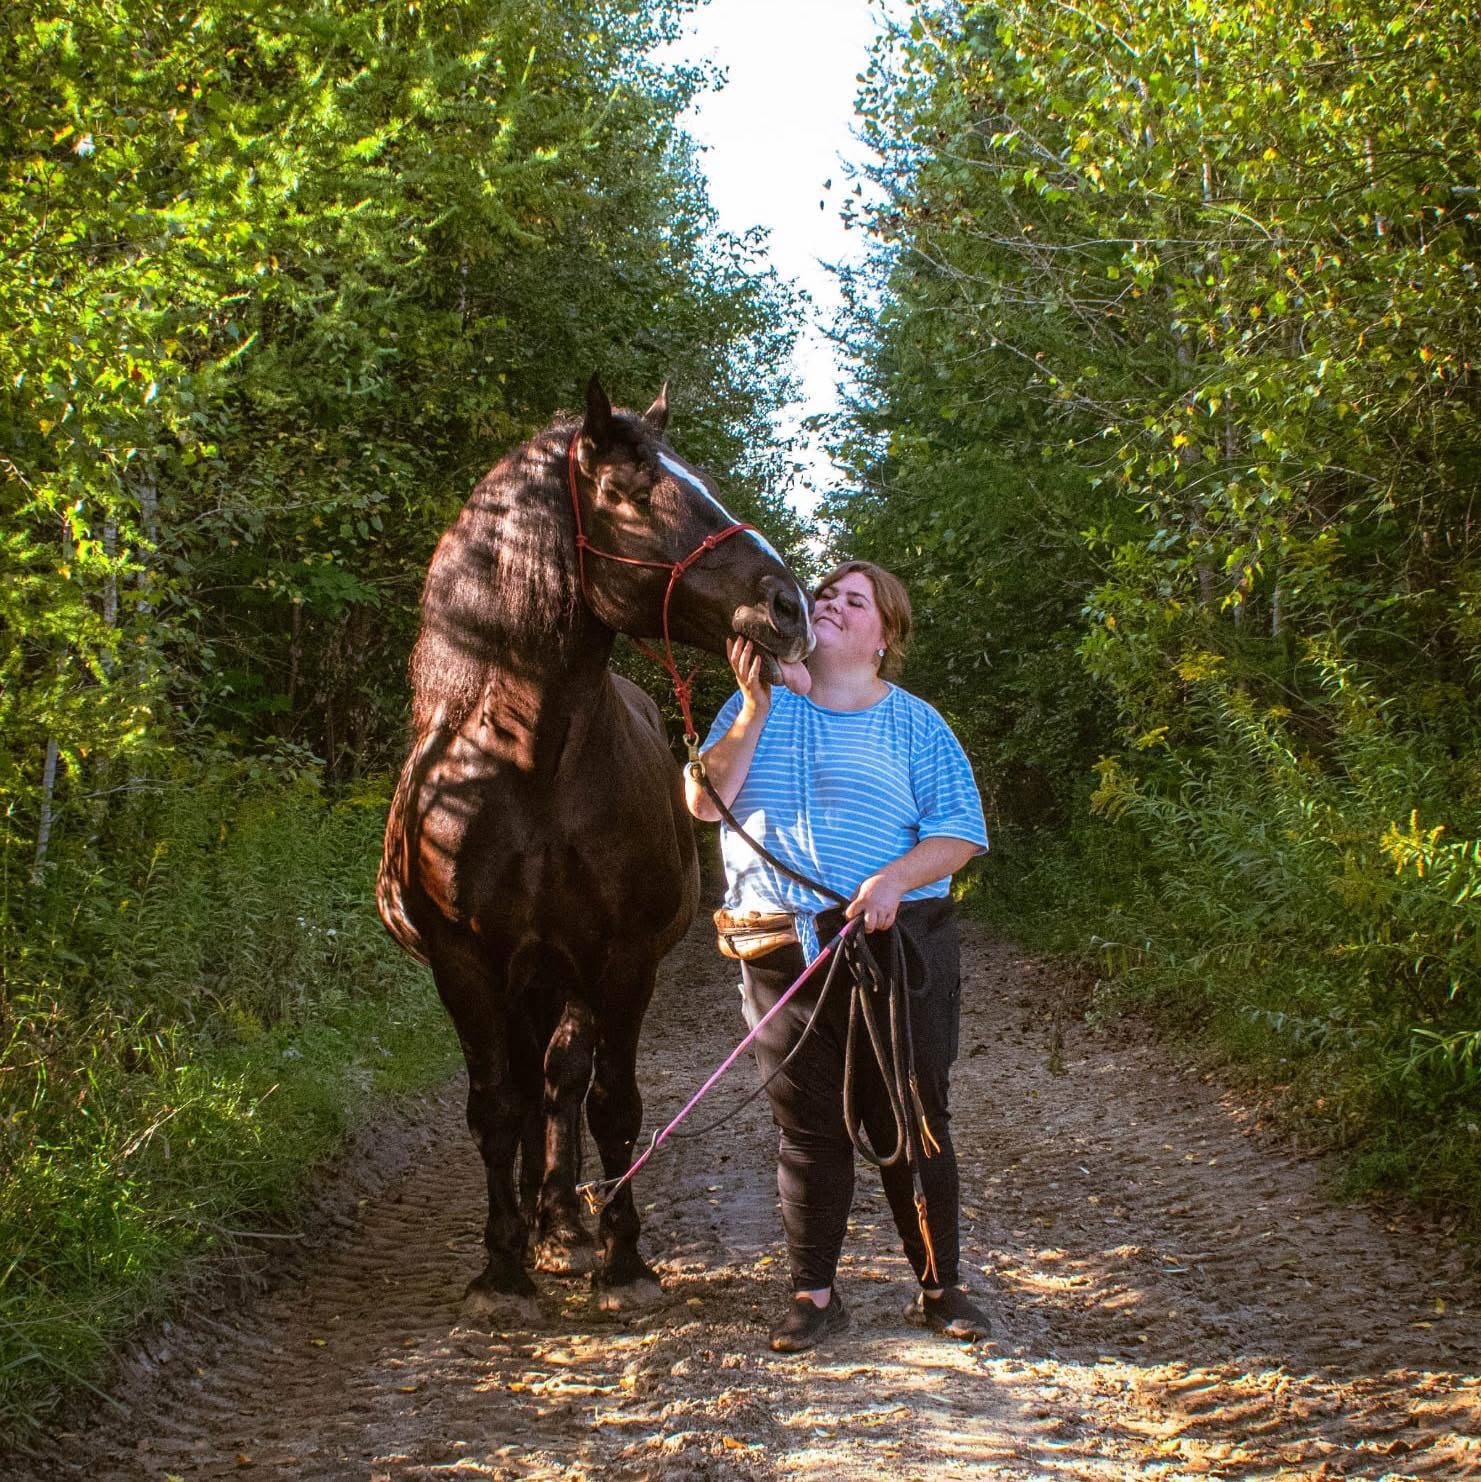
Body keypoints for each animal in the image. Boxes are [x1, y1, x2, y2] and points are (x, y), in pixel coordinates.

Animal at [377, 376, 813, 1321]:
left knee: (563, 1077)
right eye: (630, 492)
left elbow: (610, 1101)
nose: (788, 606)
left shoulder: (619, 957)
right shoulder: (465, 962)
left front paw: (621, 1259)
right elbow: (495, 1106)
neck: (528, 767)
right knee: (534, 1081)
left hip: (565, 974)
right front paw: (500, 1271)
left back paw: (565, 1223)